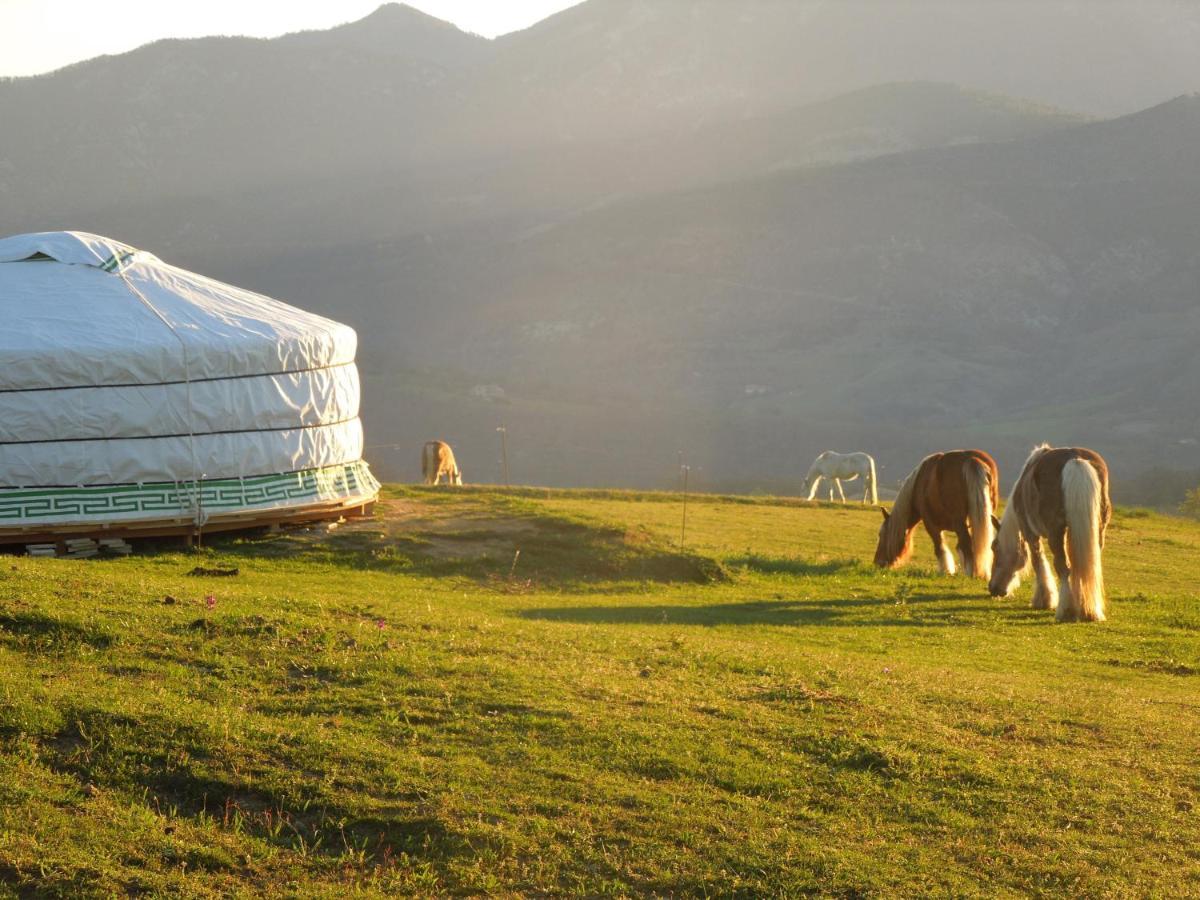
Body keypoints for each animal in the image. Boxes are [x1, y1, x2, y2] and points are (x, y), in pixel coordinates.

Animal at [878, 448, 998, 580]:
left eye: (881, 534)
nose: (877, 562)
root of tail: (971, 460)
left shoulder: (931, 524)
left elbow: (939, 547)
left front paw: (945, 570)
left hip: (960, 522)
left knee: (966, 544)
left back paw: (970, 573)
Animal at [988, 446, 1108, 628]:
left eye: (994, 547)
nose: (993, 589)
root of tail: (1076, 459)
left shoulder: (1030, 533)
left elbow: (1038, 561)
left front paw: (1044, 600)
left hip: (1055, 533)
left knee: (1063, 567)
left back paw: (1066, 612)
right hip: (1098, 529)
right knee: (1088, 565)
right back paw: (1088, 610)